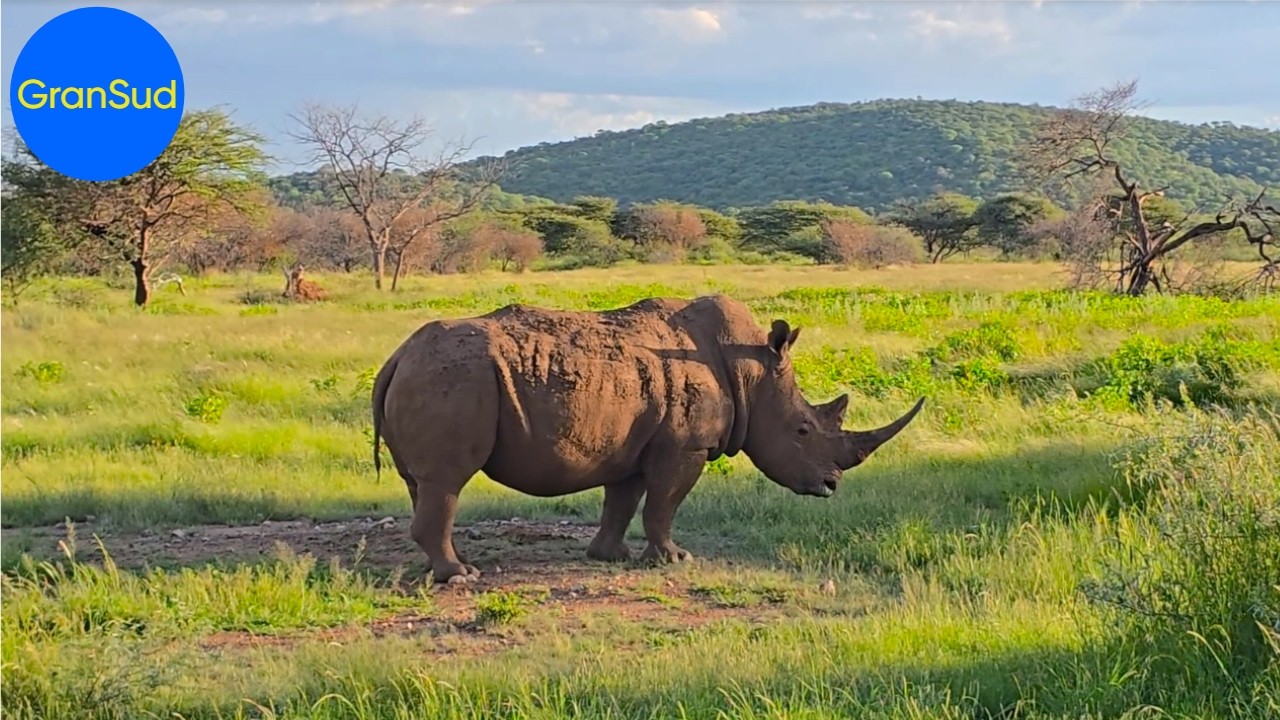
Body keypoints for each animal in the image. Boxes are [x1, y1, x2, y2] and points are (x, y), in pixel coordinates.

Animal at [371, 294, 924, 583]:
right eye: (803, 431)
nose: (832, 485)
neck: (751, 371)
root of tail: (396, 356)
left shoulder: (635, 444)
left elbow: (623, 499)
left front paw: (610, 557)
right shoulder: (685, 447)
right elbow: (663, 504)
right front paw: (675, 560)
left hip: (437, 377)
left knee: (424, 482)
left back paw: (440, 569)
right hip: (456, 380)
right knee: (447, 479)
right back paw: (461, 576)